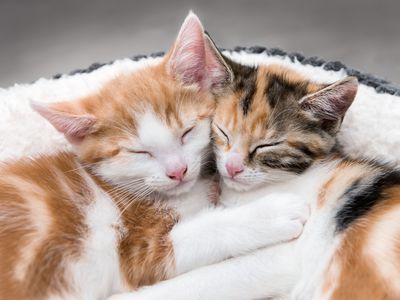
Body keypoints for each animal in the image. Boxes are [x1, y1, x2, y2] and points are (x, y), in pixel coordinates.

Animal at [0, 14, 310, 300]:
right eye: (140, 152)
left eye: (187, 132)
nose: (178, 171)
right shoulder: (138, 254)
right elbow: (200, 238)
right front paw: (273, 217)